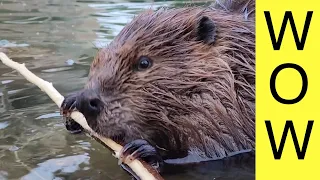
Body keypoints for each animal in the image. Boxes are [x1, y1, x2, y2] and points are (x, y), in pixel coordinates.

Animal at [60, 0, 255, 174]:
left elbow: (217, 147)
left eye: (144, 62)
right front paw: (71, 103)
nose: (86, 101)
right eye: (100, 56)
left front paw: (144, 152)